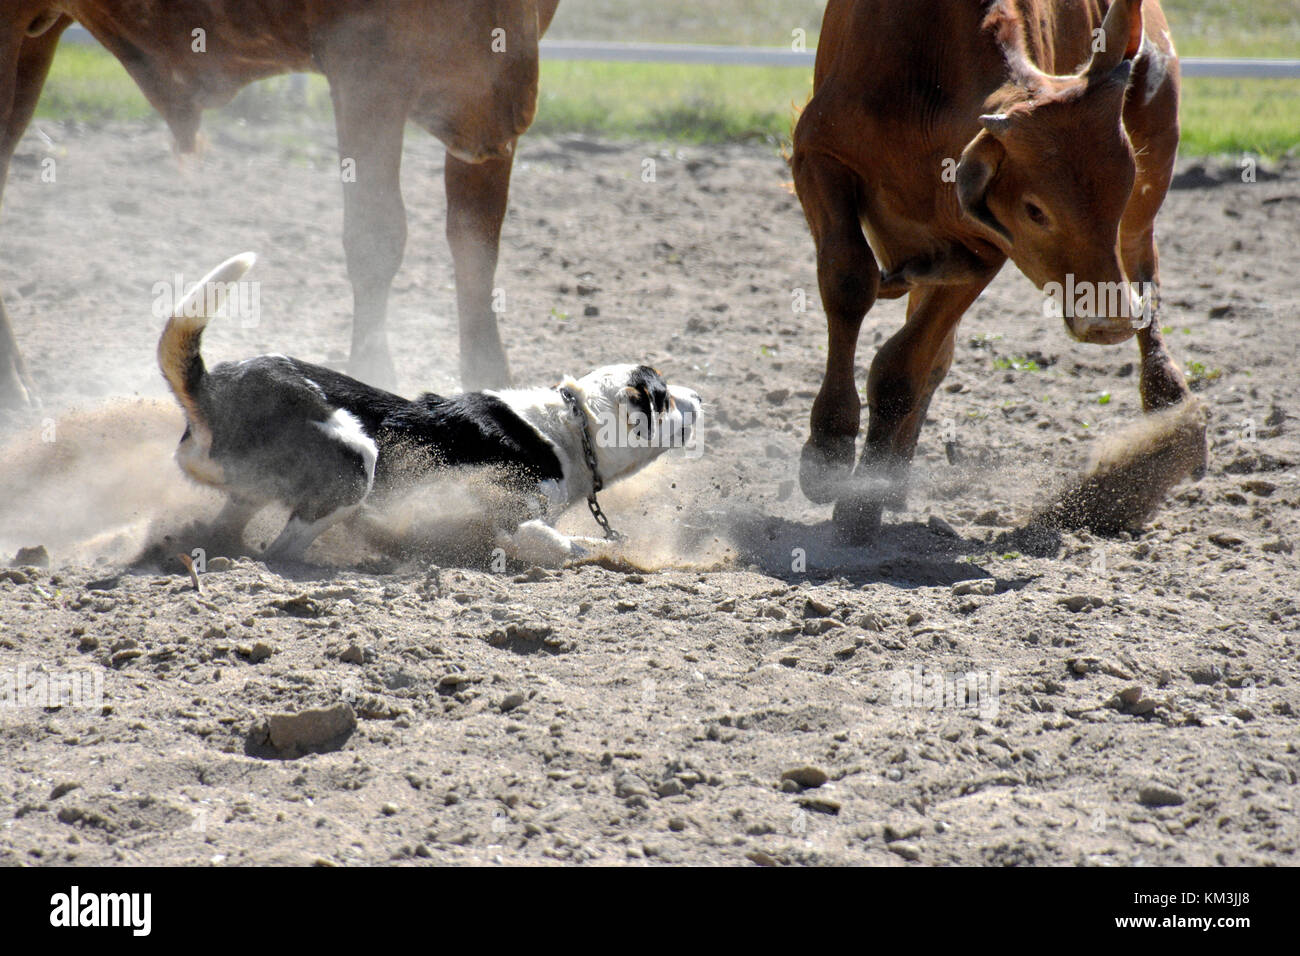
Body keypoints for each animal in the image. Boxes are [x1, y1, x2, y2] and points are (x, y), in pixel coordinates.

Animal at [1, 0, 559, 408]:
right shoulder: (367, 63)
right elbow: (377, 239)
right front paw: (375, 375)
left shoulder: (496, 103)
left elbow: (476, 240)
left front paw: (494, 384)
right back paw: (16, 391)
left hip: (34, 39)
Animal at [158, 256, 707, 567]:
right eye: (663, 396)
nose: (701, 397)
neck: (572, 429)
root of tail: (210, 389)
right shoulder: (511, 518)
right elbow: (565, 546)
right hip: (357, 462)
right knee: (281, 554)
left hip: (251, 493)